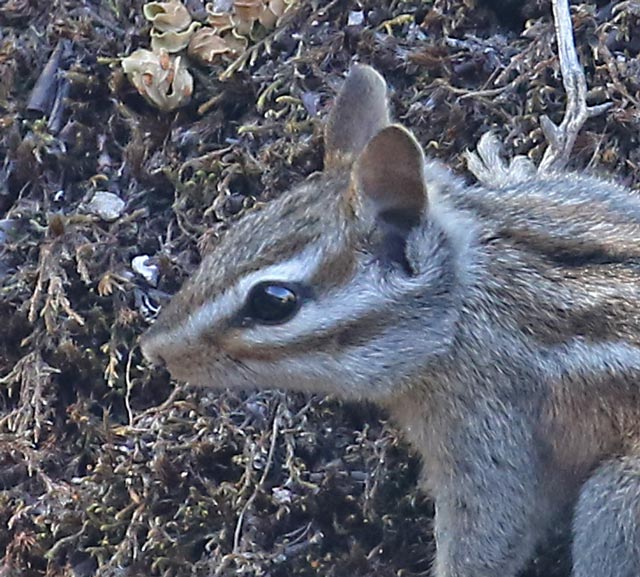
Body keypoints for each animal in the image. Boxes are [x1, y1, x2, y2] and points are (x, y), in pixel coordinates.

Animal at [141, 64, 640, 577]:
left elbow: (492, 536)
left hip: (613, 505)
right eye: (233, 233)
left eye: (273, 301)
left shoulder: (488, 428)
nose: (154, 349)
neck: (465, 299)